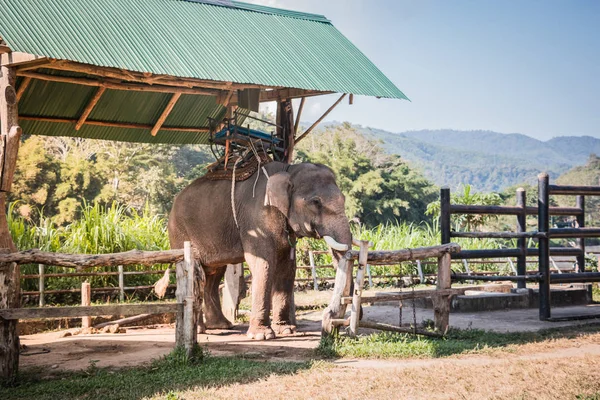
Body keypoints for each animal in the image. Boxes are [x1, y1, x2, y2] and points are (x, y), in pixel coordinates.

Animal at [168, 161, 352, 340]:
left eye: (344, 199)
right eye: (316, 202)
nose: (334, 321)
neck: (288, 169)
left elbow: (287, 267)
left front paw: (286, 331)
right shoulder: (256, 218)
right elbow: (263, 262)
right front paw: (262, 336)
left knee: (213, 274)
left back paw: (221, 326)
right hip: (180, 234)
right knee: (197, 271)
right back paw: (201, 330)